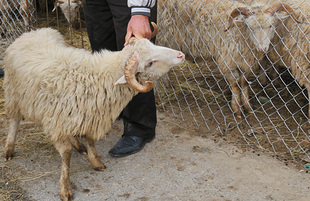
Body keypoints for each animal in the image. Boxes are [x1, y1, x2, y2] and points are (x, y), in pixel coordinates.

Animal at [3, 27, 184, 201]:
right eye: (150, 63)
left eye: (152, 44)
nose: (180, 55)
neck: (98, 77)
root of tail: (32, 32)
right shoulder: (58, 123)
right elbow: (66, 154)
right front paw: (65, 187)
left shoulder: (89, 115)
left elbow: (90, 141)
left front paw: (95, 161)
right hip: (14, 94)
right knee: (14, 121)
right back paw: (9, 149)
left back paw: (78, 144)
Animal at [157, 0, 298, 118]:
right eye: (250, 27)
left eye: (270, 26)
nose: (262, 48)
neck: (239, 31)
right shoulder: (228, 61)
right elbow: (235, 85)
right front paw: (237, 109)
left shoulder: (246, 62)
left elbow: (244, 83)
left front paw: (248, 107)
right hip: (162, 37)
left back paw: (168, 85)